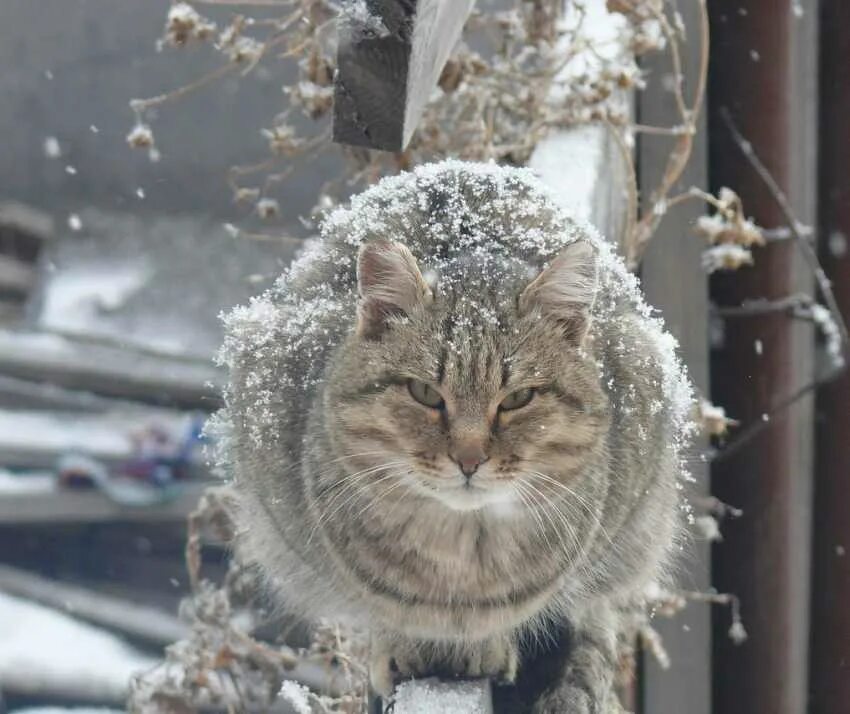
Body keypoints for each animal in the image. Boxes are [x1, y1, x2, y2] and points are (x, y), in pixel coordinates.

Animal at [210, 161, 688, 712]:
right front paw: (404, 647)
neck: (462, 568)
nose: (469, 458)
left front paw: (484, 647)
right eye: (424, 393)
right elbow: (389, 615)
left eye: (517, 399)